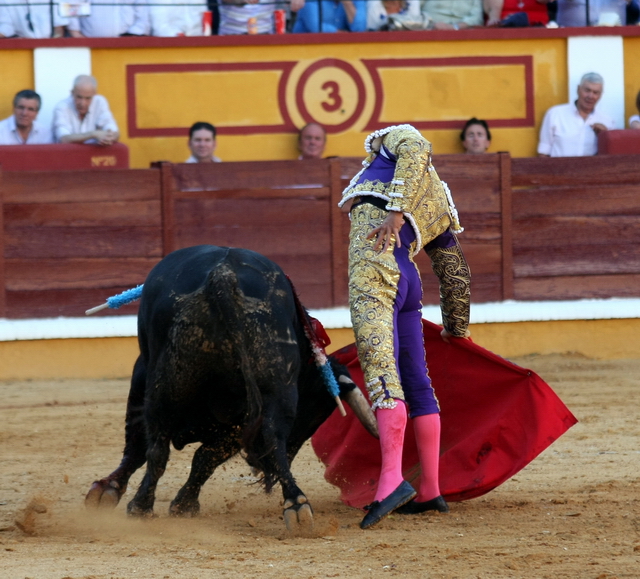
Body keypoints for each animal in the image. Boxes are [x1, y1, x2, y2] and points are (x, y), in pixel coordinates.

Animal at [84, 247, 376, 532]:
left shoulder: (141, 375)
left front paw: (110, 490)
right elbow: (205, 457)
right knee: (272, 437)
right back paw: (296, 505)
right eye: (313, 415)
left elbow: (146, 447)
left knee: (157, 446)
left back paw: (140, 506)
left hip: (165, 385)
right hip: (273, 388)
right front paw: (182, 504)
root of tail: (223, 275)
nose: (261, 468)